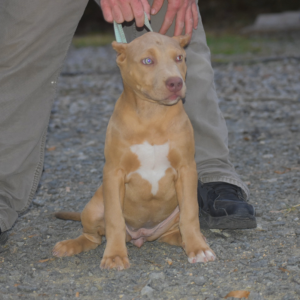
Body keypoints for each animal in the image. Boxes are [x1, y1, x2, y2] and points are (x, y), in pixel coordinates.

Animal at [52, 32, 216, 270]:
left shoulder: (187, 169)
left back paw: (188, 239)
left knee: (174, 229)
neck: (152, 115)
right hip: (93, 208)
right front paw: (114, 256)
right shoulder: (113, 173)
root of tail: (141, 236)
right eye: (147, 61)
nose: (176, 82)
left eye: (179, 58)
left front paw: (198, 248)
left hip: (172, 214)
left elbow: (190, 214)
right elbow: (115, 220)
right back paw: (70, 245)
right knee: (93, 237)